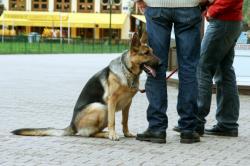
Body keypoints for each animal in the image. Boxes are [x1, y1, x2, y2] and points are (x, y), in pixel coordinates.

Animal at [11, 32, 159, 140]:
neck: (127, 71)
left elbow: (125, 120)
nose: (161, 62)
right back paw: (106, 134)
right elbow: (113, 120)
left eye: (152, 51)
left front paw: (127, 133)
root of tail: (72, 125)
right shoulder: (111, 101)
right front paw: (113, 134)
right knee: (88, 133)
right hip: (101, 107)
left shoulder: (128, 103)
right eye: (146, 53)